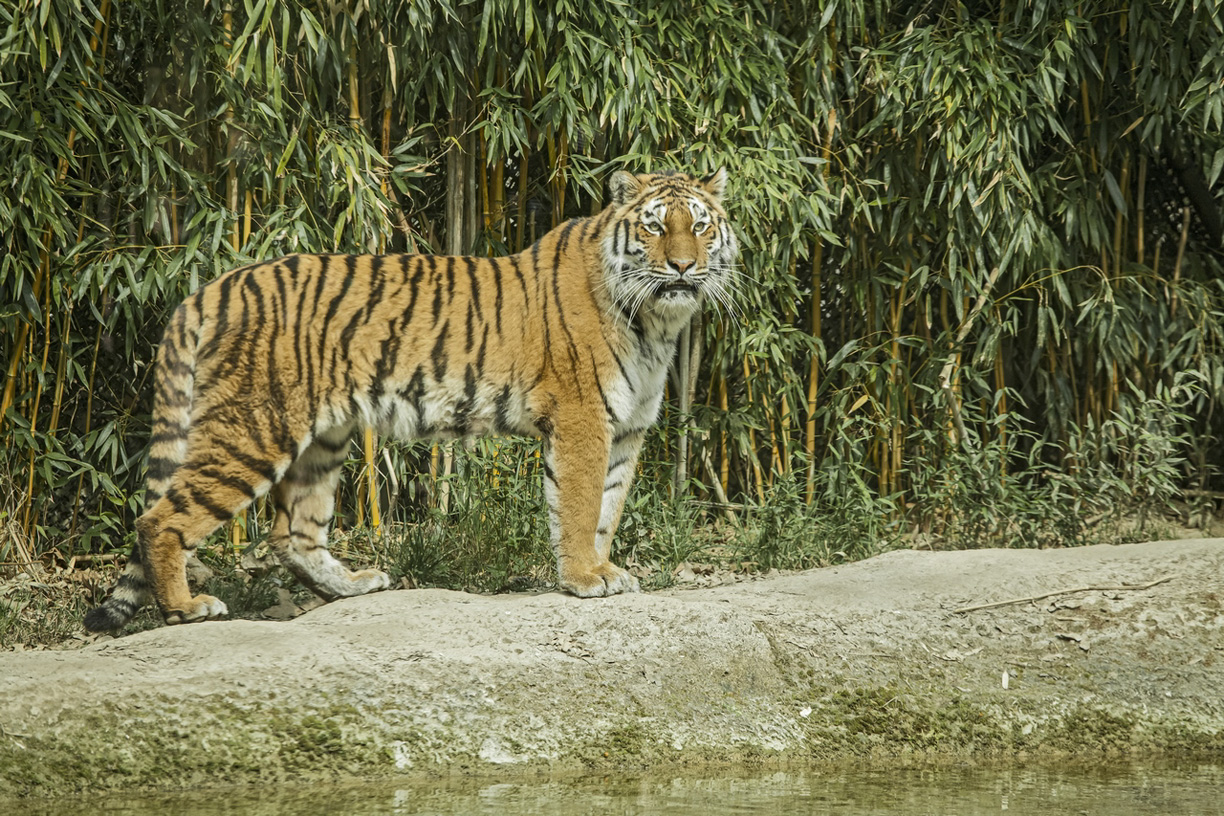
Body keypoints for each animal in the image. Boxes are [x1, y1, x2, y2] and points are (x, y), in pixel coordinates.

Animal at [84, 166, 737, 631]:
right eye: (655, 226)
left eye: (701, 226)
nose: (684, 266)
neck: (658, 323)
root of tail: (211, 286)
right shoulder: (582, 421)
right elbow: (578, 509)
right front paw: (583, 579)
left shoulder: (625, 429)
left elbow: (606, 509)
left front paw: (603, 570)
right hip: (253, 428)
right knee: (160, 518)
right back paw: (186, 608)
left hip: (325, 437)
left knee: (292, 535)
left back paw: (352, 586)